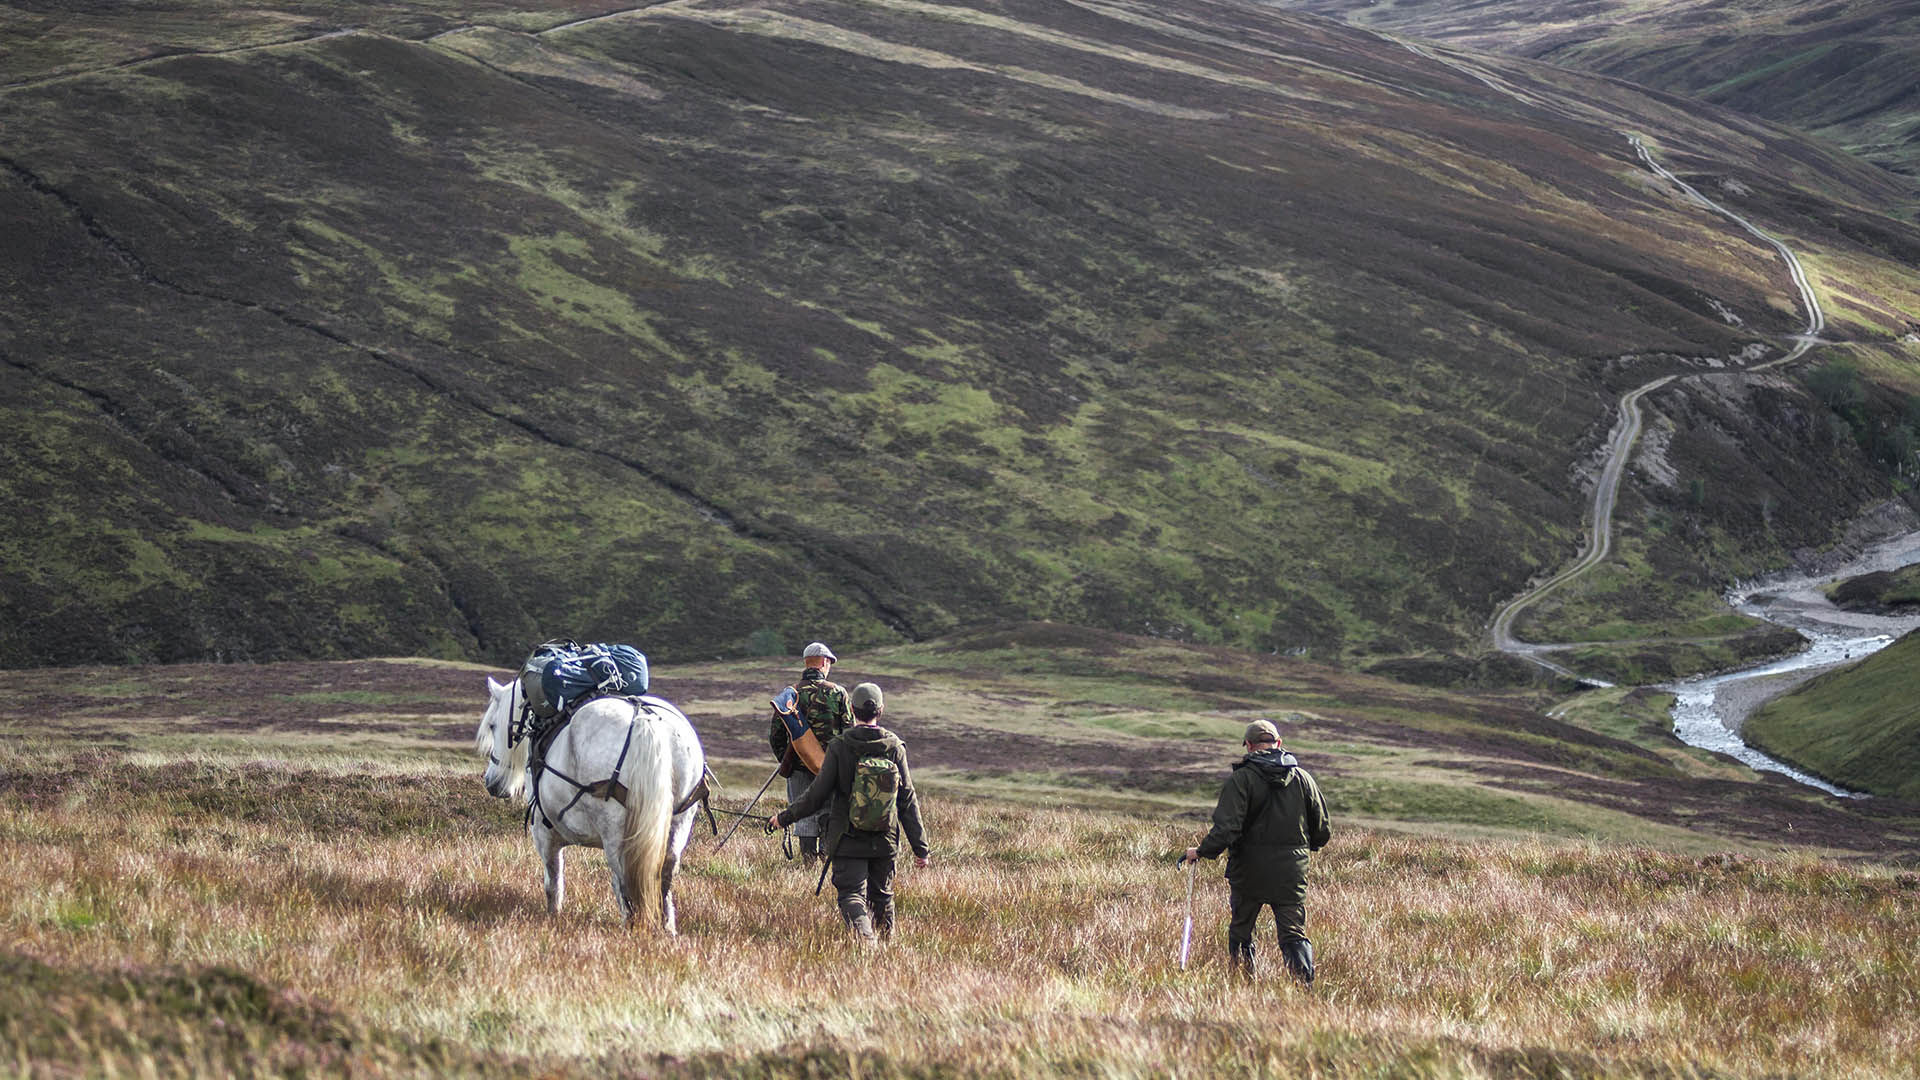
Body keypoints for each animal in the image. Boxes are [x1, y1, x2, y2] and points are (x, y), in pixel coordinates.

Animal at [476, 672, 710, 926]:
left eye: (492, 725)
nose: (492, 783)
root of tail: (644, 721)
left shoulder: (543, 829)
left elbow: (553, 881)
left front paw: (553, 918)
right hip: (680, 819)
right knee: (664, 877)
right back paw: (666, 927)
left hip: (615, 829)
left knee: (627, 884)